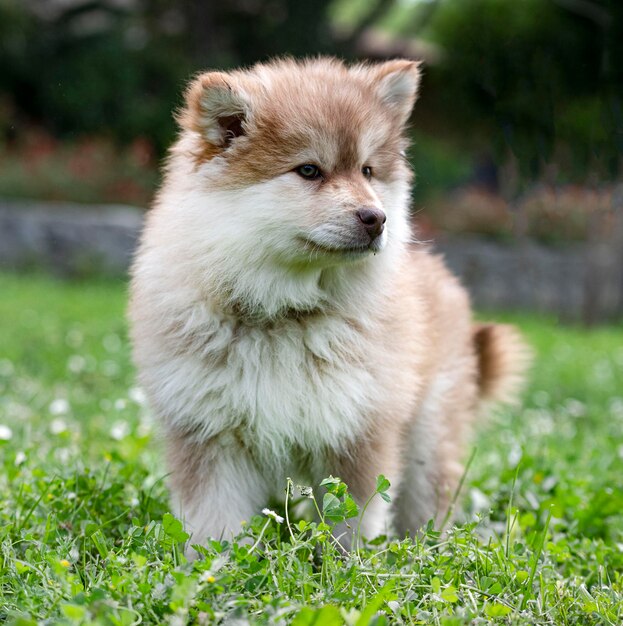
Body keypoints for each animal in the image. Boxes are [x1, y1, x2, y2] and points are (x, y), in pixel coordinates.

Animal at [129, 57, 528, 544]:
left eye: (368, 171)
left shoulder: (356, 430)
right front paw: (213, 566)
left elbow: (353, 524)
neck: (284, 312)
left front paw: (353, 563)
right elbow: (213, 527)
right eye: (308, 170)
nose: (377, 218)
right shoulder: (210, 435)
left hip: (428, 438)